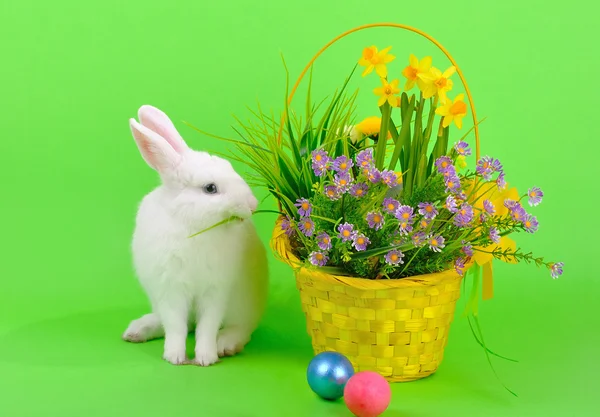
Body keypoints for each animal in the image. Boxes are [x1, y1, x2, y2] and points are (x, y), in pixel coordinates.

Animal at [123, 104, 268, 364]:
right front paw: (175, 357)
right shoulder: (171, 289)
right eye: (210, 188)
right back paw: (137, 331)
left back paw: (226, 344)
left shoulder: (215, 290)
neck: (191, 226)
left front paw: (206, 358)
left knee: (241, 328)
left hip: (243, 305)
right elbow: (176, 326)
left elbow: (207, 327)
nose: (252, 205)